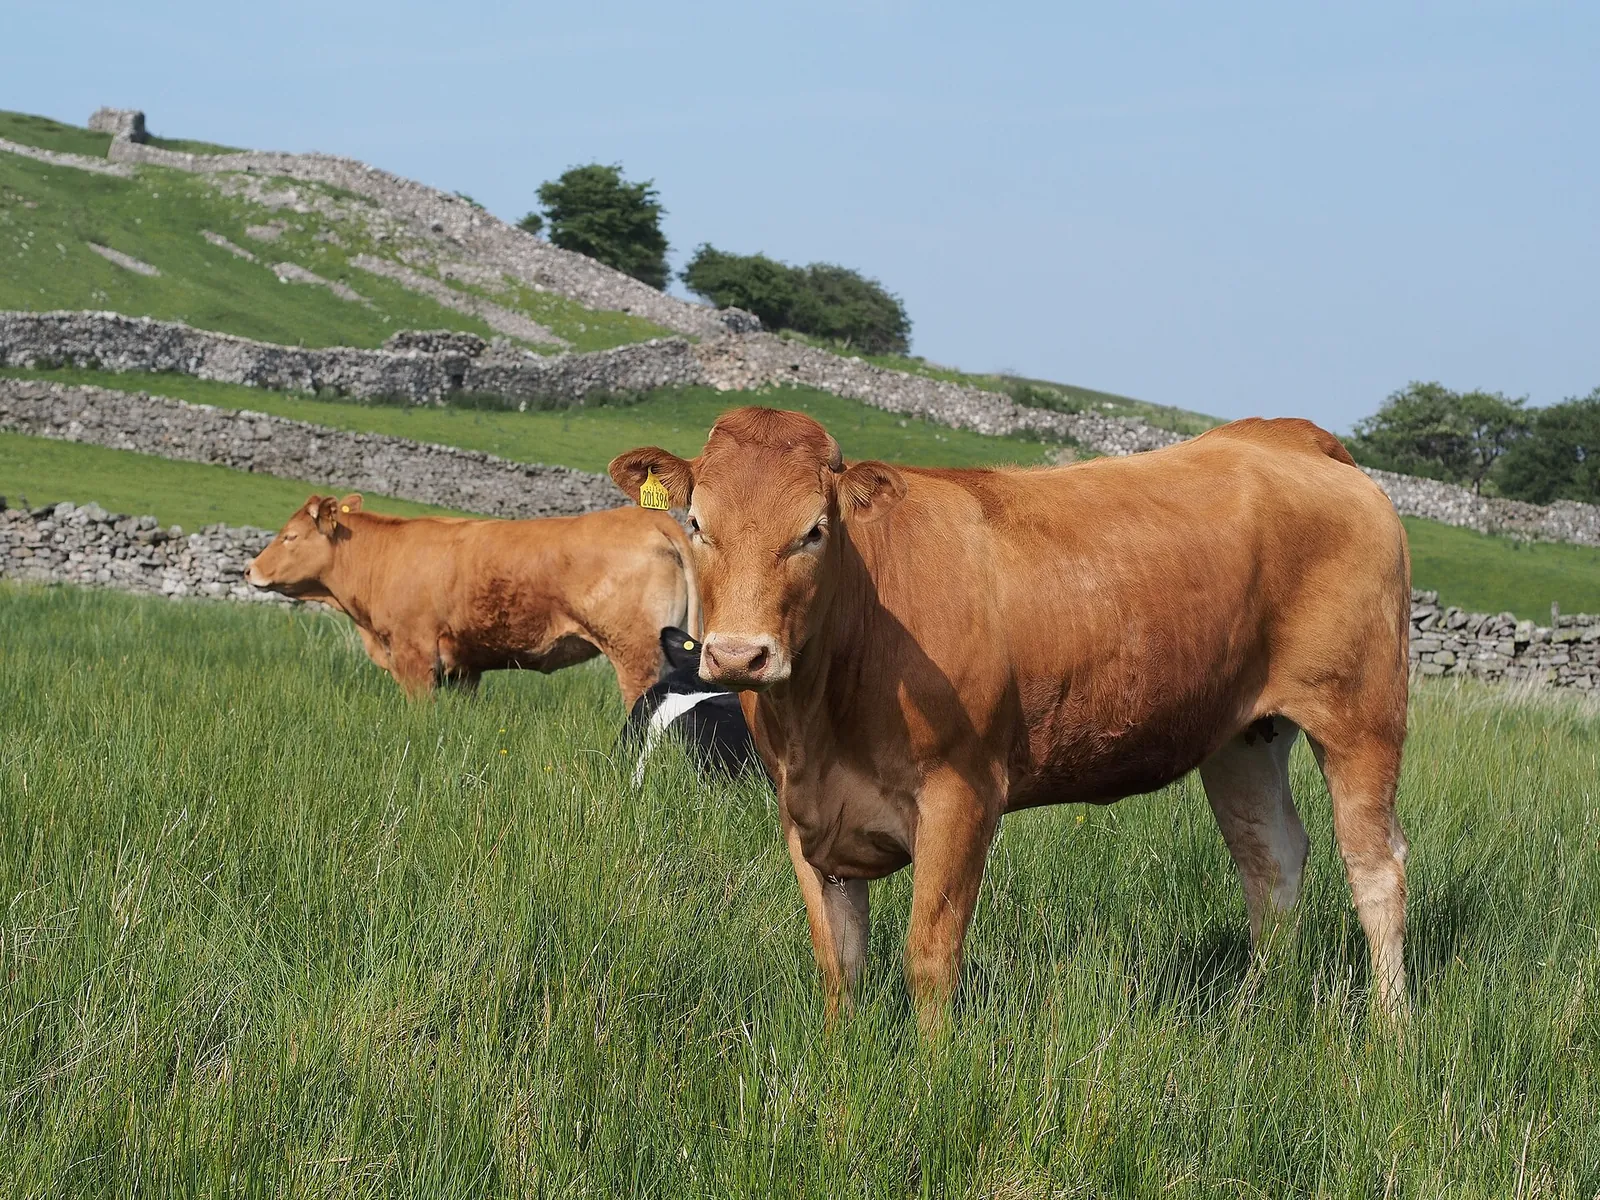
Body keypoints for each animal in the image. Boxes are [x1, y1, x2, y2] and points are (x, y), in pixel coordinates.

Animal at [246, 495, 697, 705]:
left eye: (289, 536)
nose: (249, 570)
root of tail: (646, 517)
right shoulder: (464, 667)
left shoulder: (414, 653)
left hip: (634, 652)